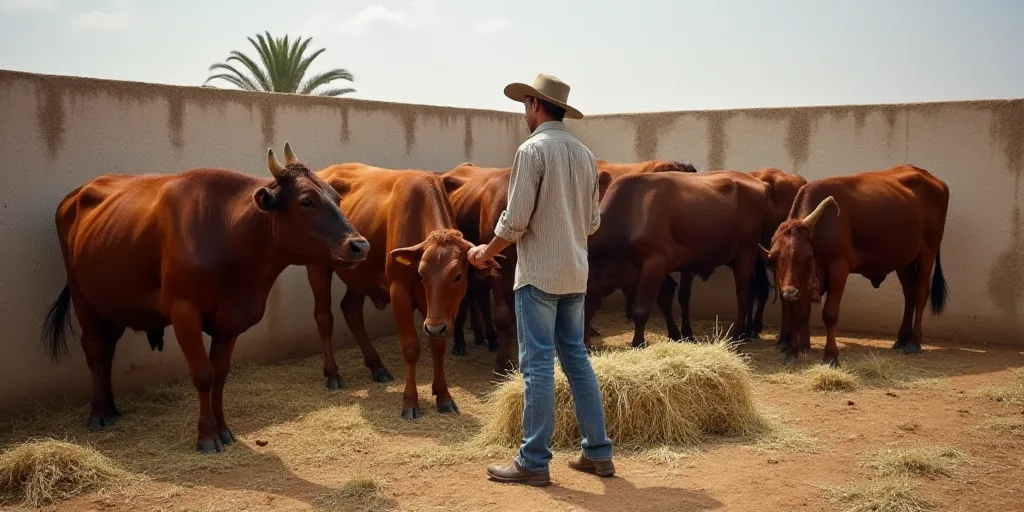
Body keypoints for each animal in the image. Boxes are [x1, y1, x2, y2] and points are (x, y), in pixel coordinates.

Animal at [40, 144, 369, 453]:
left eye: (337, 198)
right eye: (306, 201)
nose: (360, 245)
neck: (226, 235)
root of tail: (75, 194)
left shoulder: (231, 319)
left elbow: (220, 374)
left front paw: (223, 429)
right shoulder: (184, 312)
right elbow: (203, 374)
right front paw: (208, 436)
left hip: (115, 300)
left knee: (108, 348)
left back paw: (111, 406)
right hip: (82, 293)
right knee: (95, 348)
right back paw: (99, 414)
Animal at [305, 163, 500, 419]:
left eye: (458, 276)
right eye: (421, 273)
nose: (435, 326)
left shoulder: (439, 310)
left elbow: (438, 345)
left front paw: (444, 396)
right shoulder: (399, 292)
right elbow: (410, 347)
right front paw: (410, 402)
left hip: (359, 274)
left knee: (351, 310)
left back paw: (377, 366)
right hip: (317, 267)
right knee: (324, 316)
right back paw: (333, 374)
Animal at [584, 170, 773, 349]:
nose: (585, 344)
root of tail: (759, 183)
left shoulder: (655, 262)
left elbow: (642, 308)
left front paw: (638, 342)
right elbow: (667, 298)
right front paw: (678, 333)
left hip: (746, 252)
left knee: (743, 293)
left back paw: (736, 336)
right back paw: (744, 333)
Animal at [759, 164, 950, 366]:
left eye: (806, 256)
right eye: (774, 259)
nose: (788, 292)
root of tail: (931, 178)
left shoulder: (838, 268)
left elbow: (830, 313)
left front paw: (831, 355)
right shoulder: (801, 282)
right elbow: (798, 312)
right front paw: (792, 353)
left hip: (927, 252)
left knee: (921, 293)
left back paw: (914, 342)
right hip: (903, 260)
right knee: (909, 294)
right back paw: (901, 339)